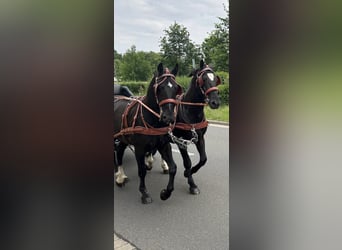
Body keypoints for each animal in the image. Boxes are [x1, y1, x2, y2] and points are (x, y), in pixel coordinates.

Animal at [113, 63, 183, 204]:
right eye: (160, 88)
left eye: (176, 88)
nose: (169, 117)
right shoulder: (139, 149)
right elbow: (142, 171)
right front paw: (144, 193)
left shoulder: (164, 145)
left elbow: (173, 168)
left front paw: (165, 193)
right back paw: (120, 176)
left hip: (122, 137)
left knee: (120, 151)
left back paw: (120, 177)